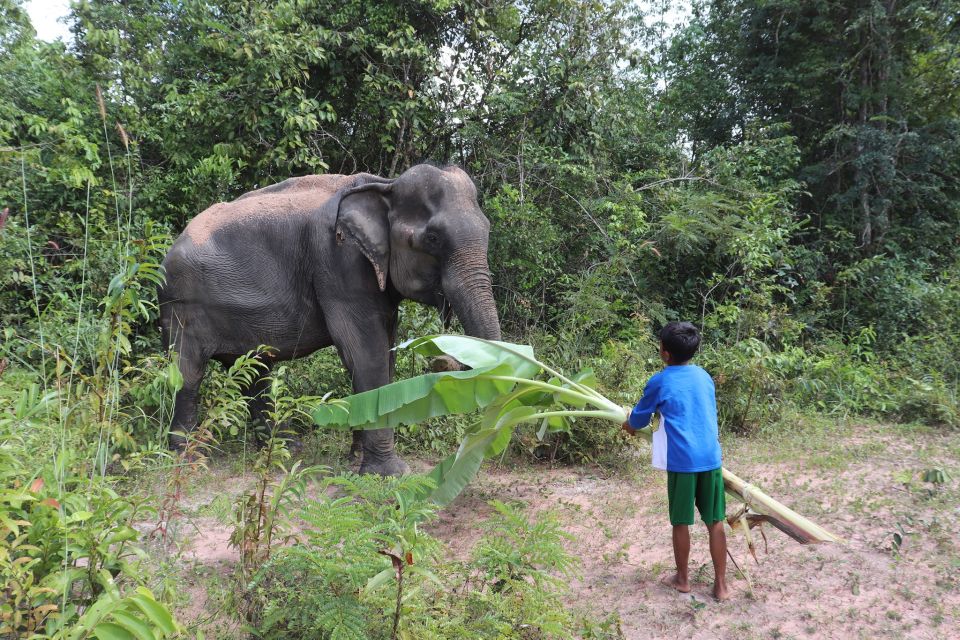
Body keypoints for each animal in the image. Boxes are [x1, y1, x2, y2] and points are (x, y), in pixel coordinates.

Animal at [158, 164, 502, 476]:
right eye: (432, 238)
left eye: (488, 228)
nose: (443, 360)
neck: (384, 185)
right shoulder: (338, 263)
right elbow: (365, 354)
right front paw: (390, 474)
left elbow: (383, 353)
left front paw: (357, 459)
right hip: (182, 305)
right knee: (188, 373)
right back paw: (187, 459)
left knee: (255, 372)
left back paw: (284, 448)